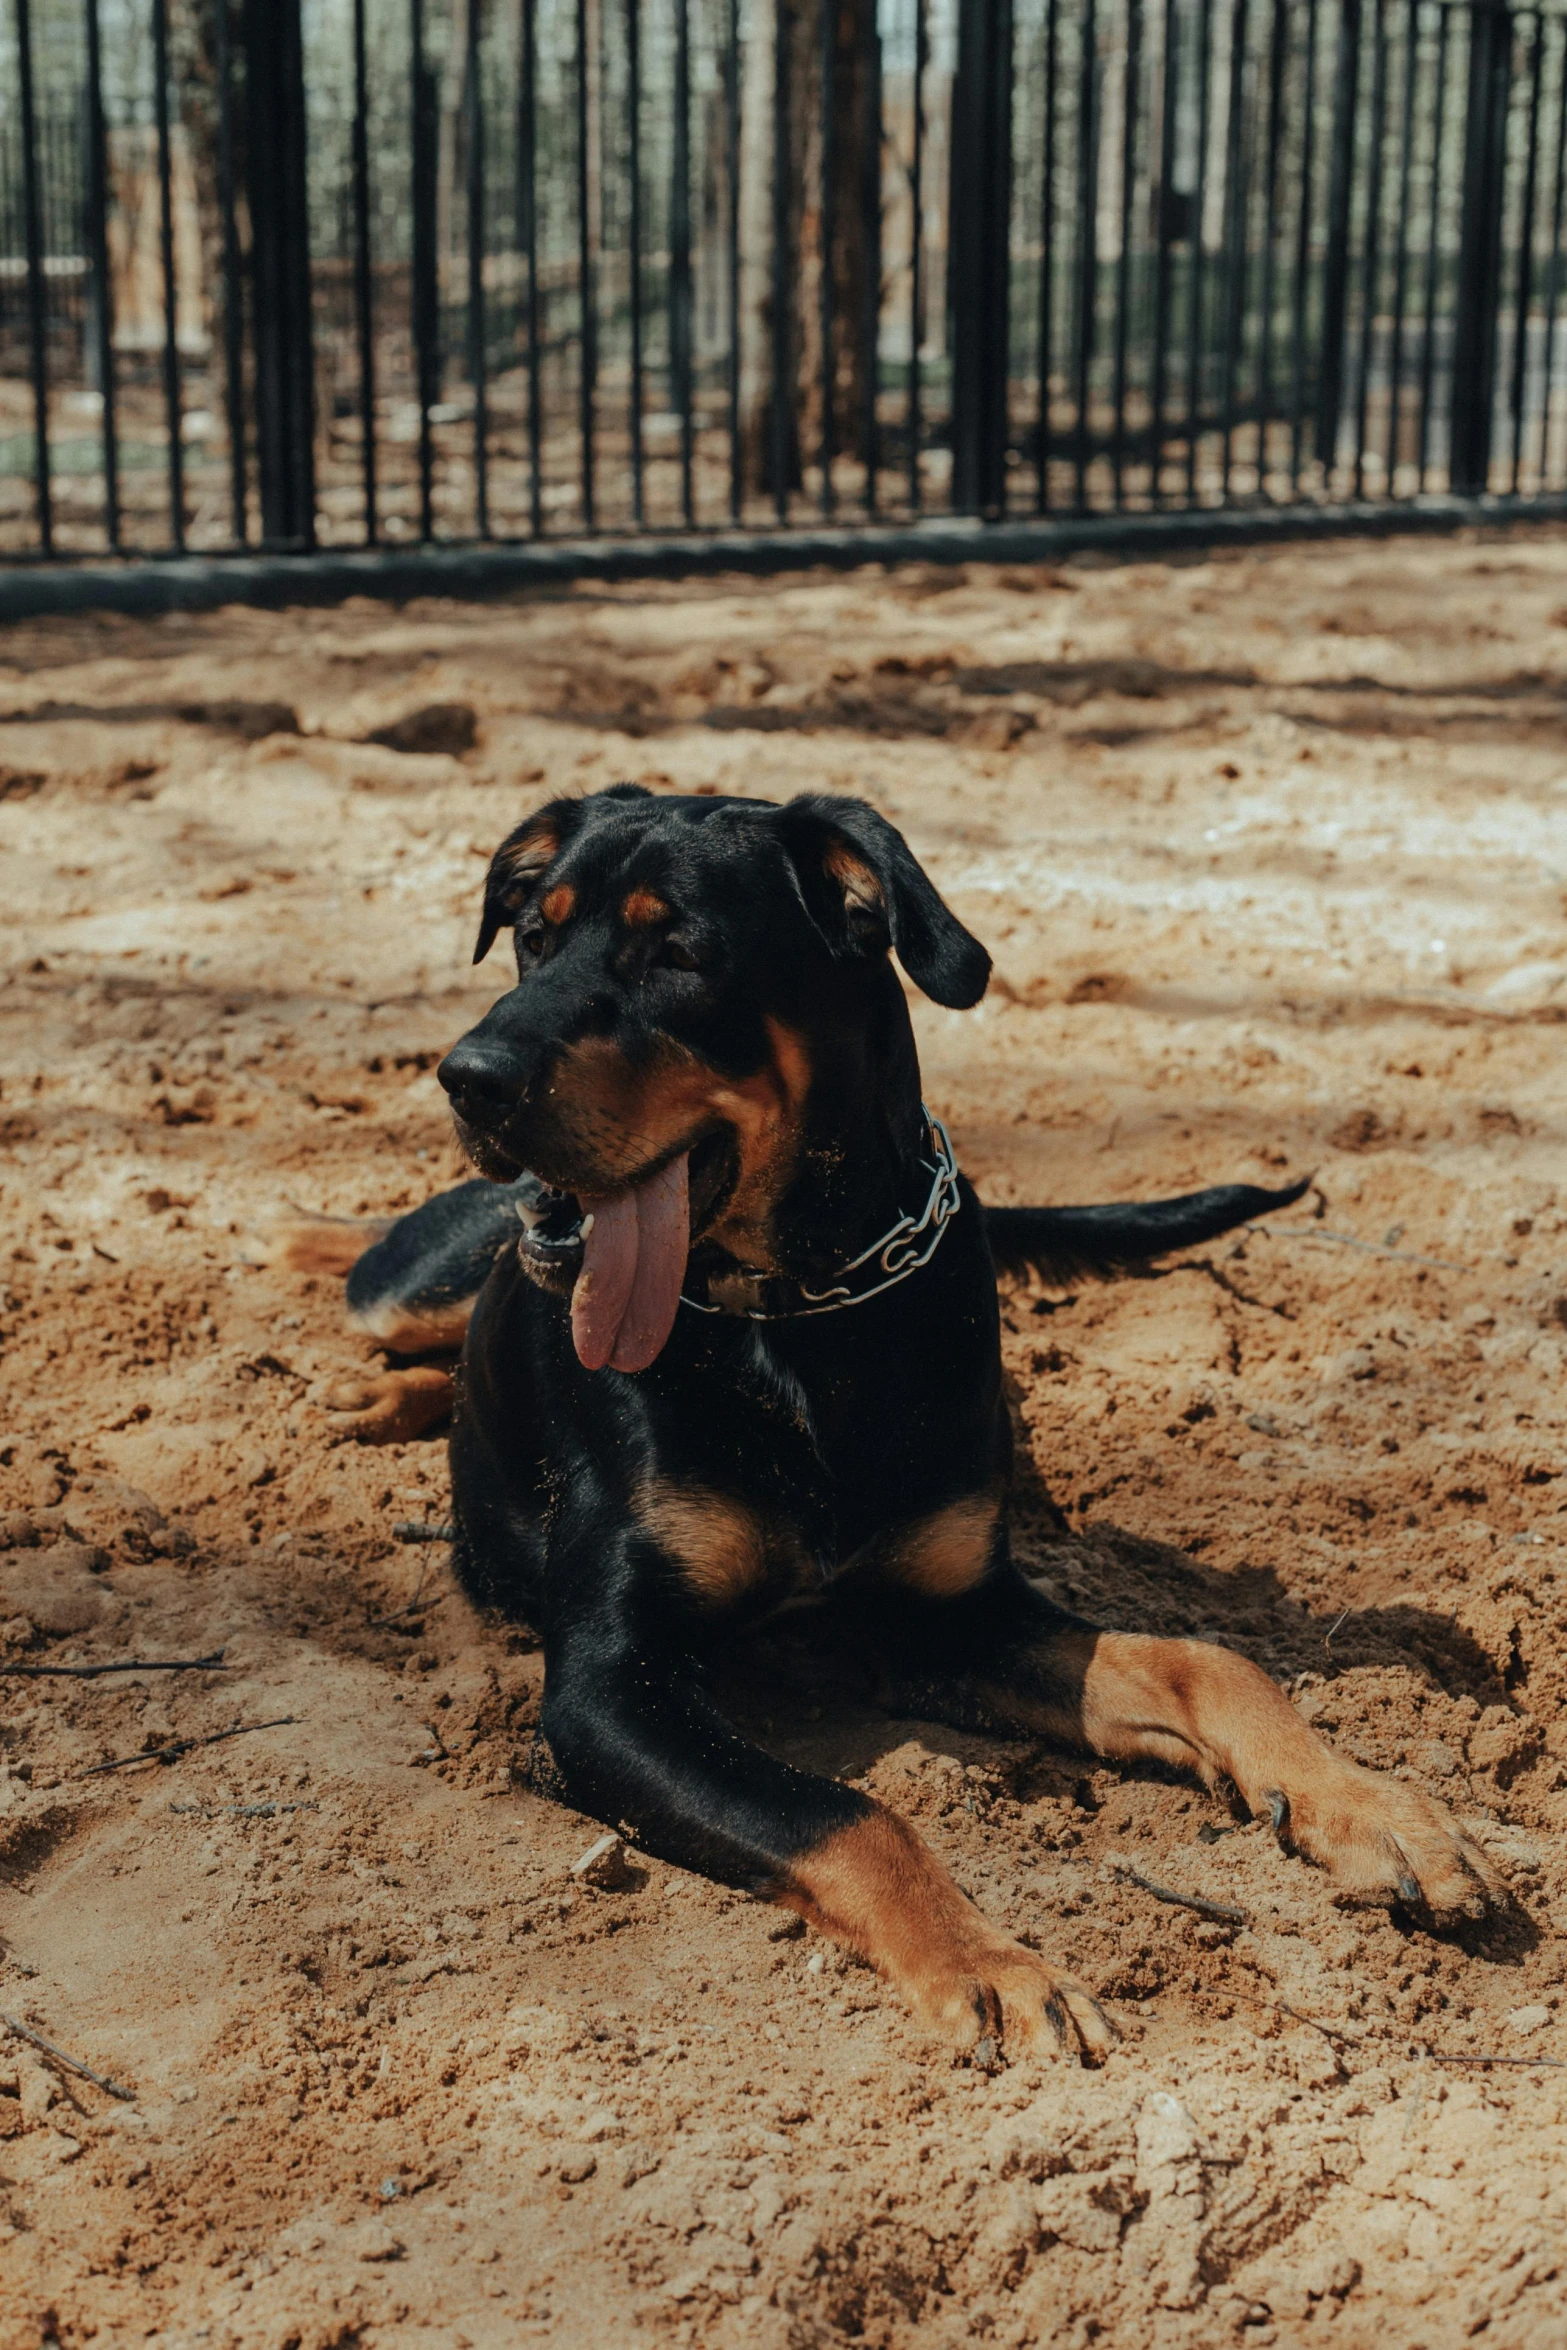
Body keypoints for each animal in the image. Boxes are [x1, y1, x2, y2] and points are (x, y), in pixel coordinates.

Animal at [310, 784, 1503, 2058]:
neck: (805, 1314)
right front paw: (991, 1961)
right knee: (370, 1287)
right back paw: (351, 1351)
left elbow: (1208, 1659)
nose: (467, 1077)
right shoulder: (606, 1688)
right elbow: (847, 1808)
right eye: (533, 934)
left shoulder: (950, 1616)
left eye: (680, 951)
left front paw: (1374, 1806)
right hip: (421, 1270)